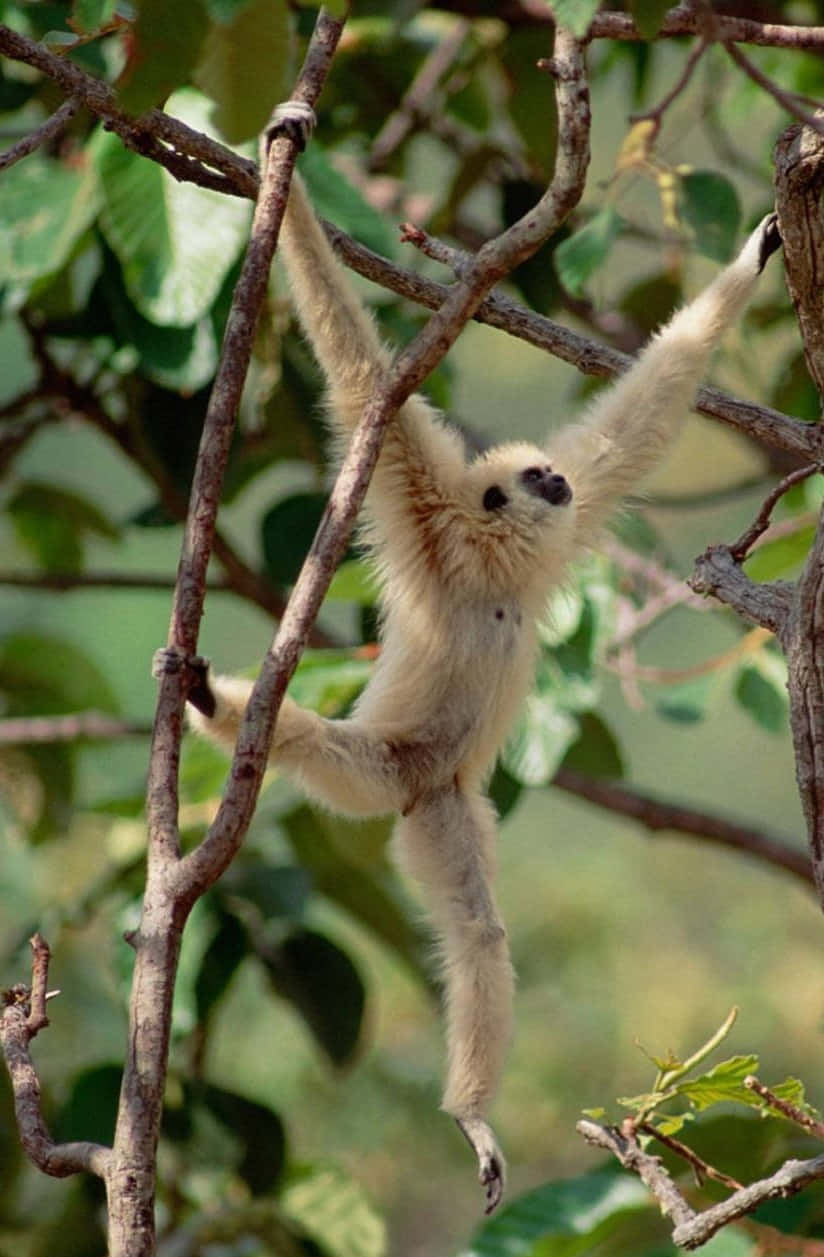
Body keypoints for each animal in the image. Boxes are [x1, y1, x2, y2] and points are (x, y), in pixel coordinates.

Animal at [167, 100, 782, 1214]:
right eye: (528, 479)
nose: (549, 482)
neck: (495, 570)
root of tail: (426, 781)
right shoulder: (422, 503)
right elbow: (361, 374)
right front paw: (286, 168)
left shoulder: (562, 526)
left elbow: (636, 424)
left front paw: (759, 250)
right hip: (386, 778)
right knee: (312, 745)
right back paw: (211, 704)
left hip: (447, 806)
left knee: (479, 940)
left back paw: (472, 1108)